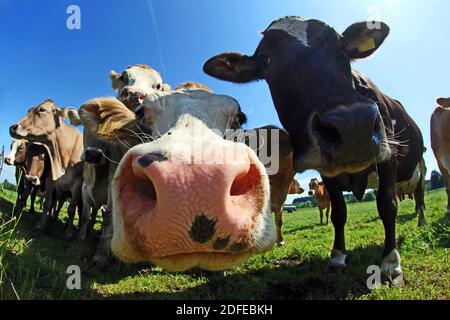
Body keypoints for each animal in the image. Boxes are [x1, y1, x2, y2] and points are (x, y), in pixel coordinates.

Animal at [8, 99, 84, 231]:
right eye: (29, 109)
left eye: (42, 109)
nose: (13, 127)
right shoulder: (50, 180)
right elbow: (47, 203)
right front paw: (40, 225)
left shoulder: (78, 184)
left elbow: (71, 209)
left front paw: (69, 232)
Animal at [204, 16, 426, 284]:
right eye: (266, 60)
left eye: (343, 46)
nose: (353, 126)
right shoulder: (326, 172)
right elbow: (340, 212)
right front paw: (338, 257)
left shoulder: (389, 158)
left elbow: (387, 205)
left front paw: (390, 262)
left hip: (421, 167)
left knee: (420, 196)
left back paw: (422, 221)